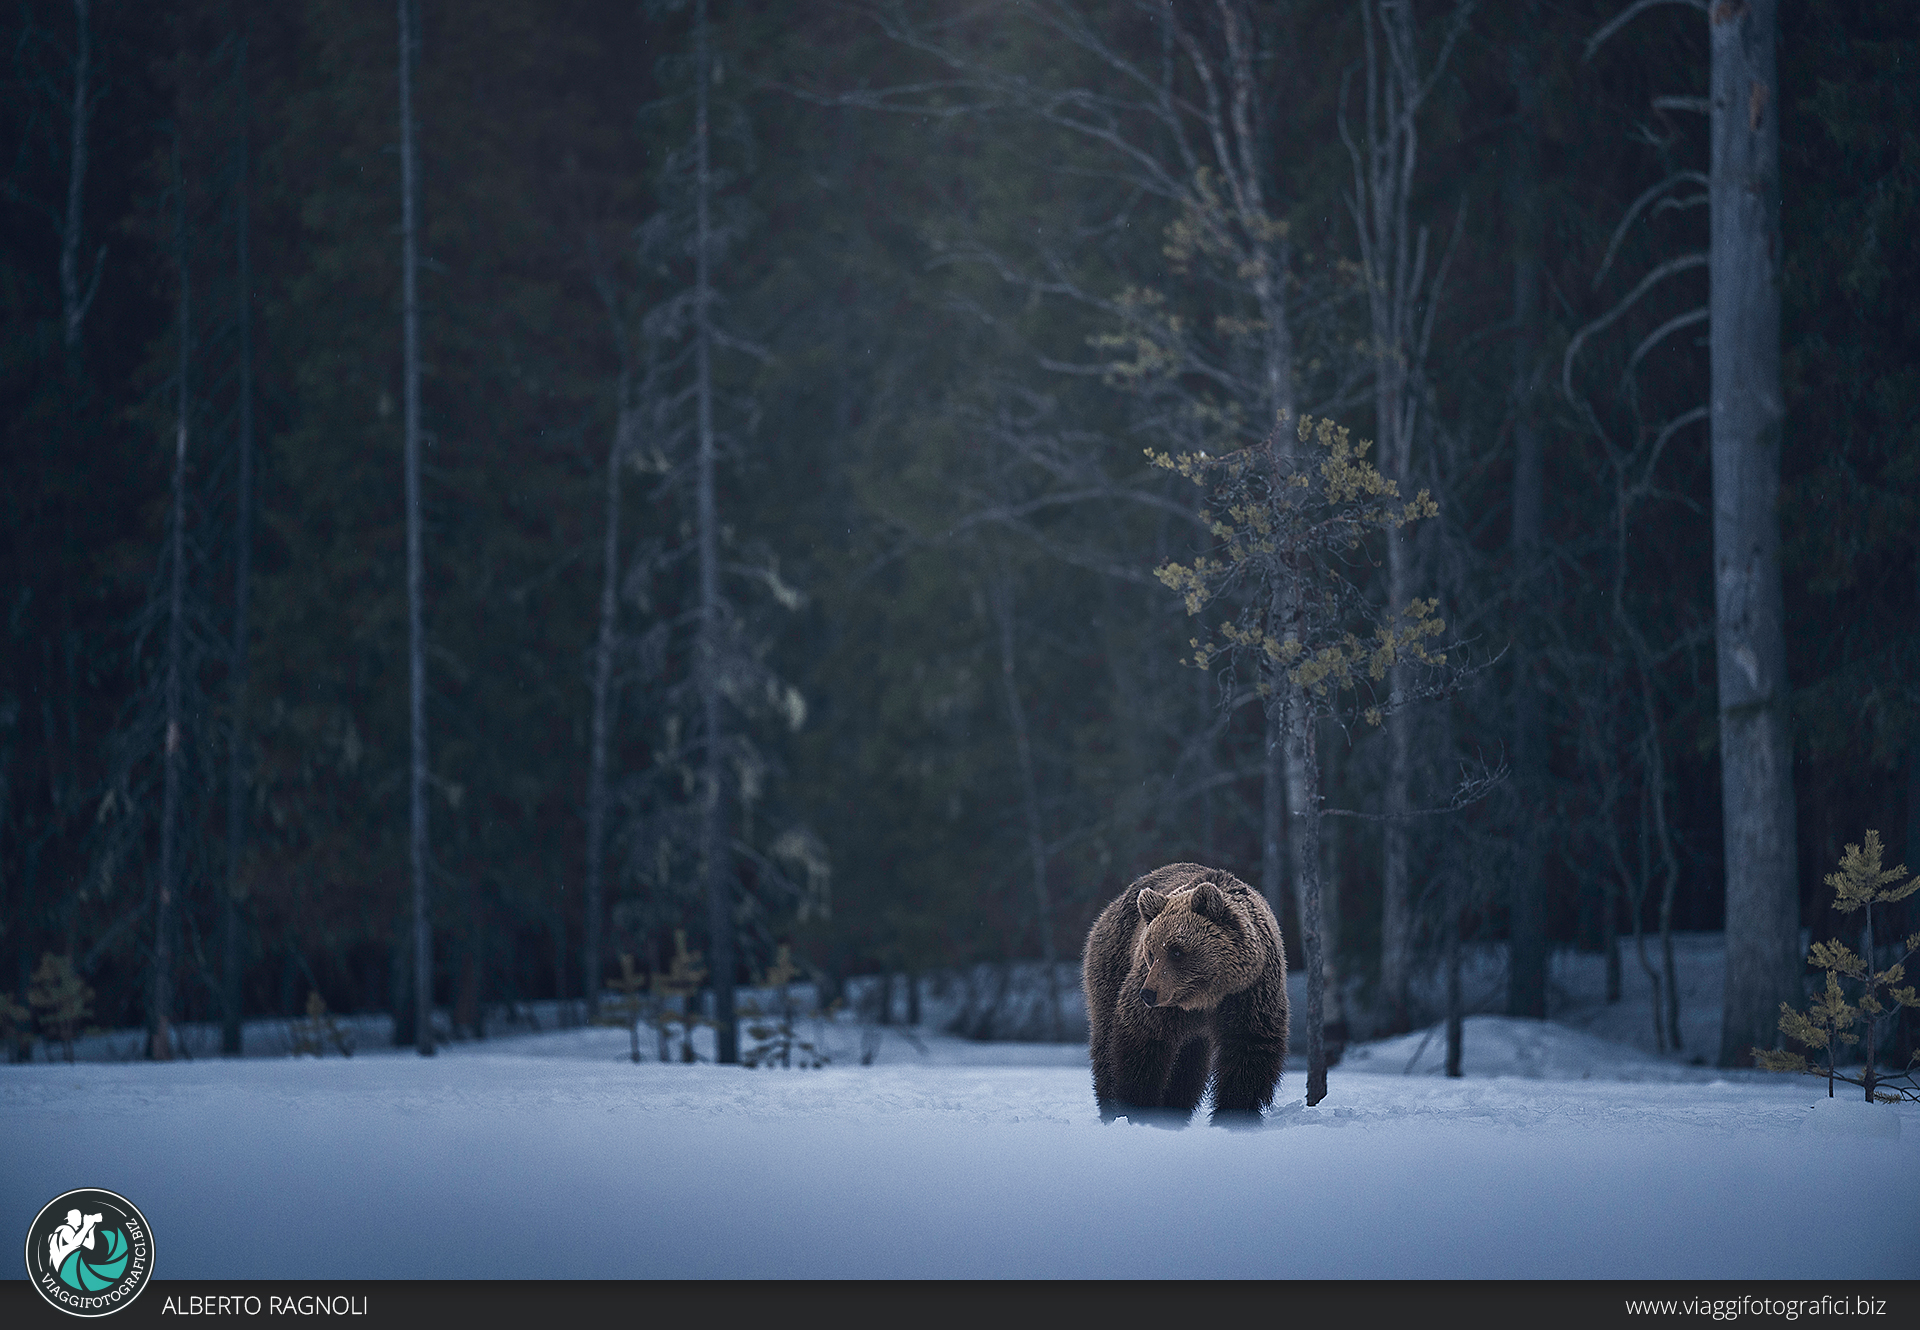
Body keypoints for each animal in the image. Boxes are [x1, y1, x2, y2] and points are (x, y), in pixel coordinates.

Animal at [1082, 862, 1288, 1128]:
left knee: (1189, 1064)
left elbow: (1248, 1049)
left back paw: (1176, 1110)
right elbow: (1142, 1042)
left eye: (1177, 951)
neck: (1207, 996)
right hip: (1112, 963)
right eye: (1151, 952)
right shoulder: (1161, 1000)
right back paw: (1110, 1109)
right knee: (1105, 1040)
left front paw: (1234, 1116)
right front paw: (1138, 1107)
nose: (1148, 994)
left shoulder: (1250, 993)